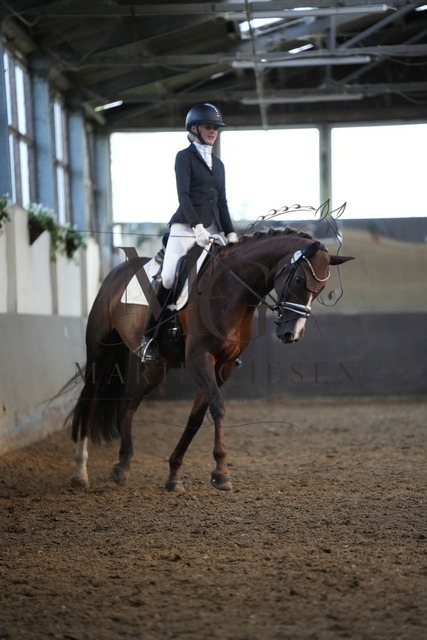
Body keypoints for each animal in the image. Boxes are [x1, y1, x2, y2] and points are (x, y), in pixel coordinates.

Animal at [69, 227, 353, 492]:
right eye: (297, 278)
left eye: (321, 289)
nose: (291, 334)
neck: (231, 290)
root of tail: (116, 272)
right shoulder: (200, 359)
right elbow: (218, 407)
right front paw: (221, 473)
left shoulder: (222, 367)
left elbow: (196, 418)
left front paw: (174, 475)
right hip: (98, 353)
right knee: (90, 401)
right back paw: (80, 473)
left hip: (158, 366)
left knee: (128, 403)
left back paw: (123, 465)